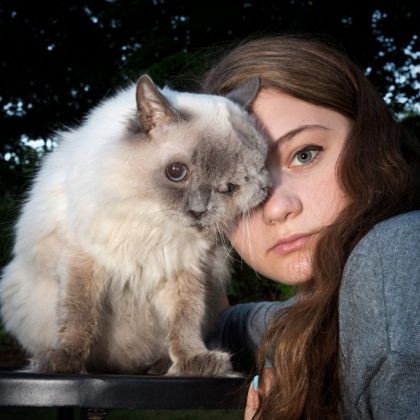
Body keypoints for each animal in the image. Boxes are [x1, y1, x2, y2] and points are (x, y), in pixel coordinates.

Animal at [0, 74, 270, 376]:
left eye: (229, 188)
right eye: (176, 172)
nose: (197, 211)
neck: (153, 223)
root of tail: (123, 366)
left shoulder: (183, 269)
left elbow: (185, 320)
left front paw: (193, 361)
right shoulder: (83, 260)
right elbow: (79, 315)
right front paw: (66, 360)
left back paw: (158, 367)